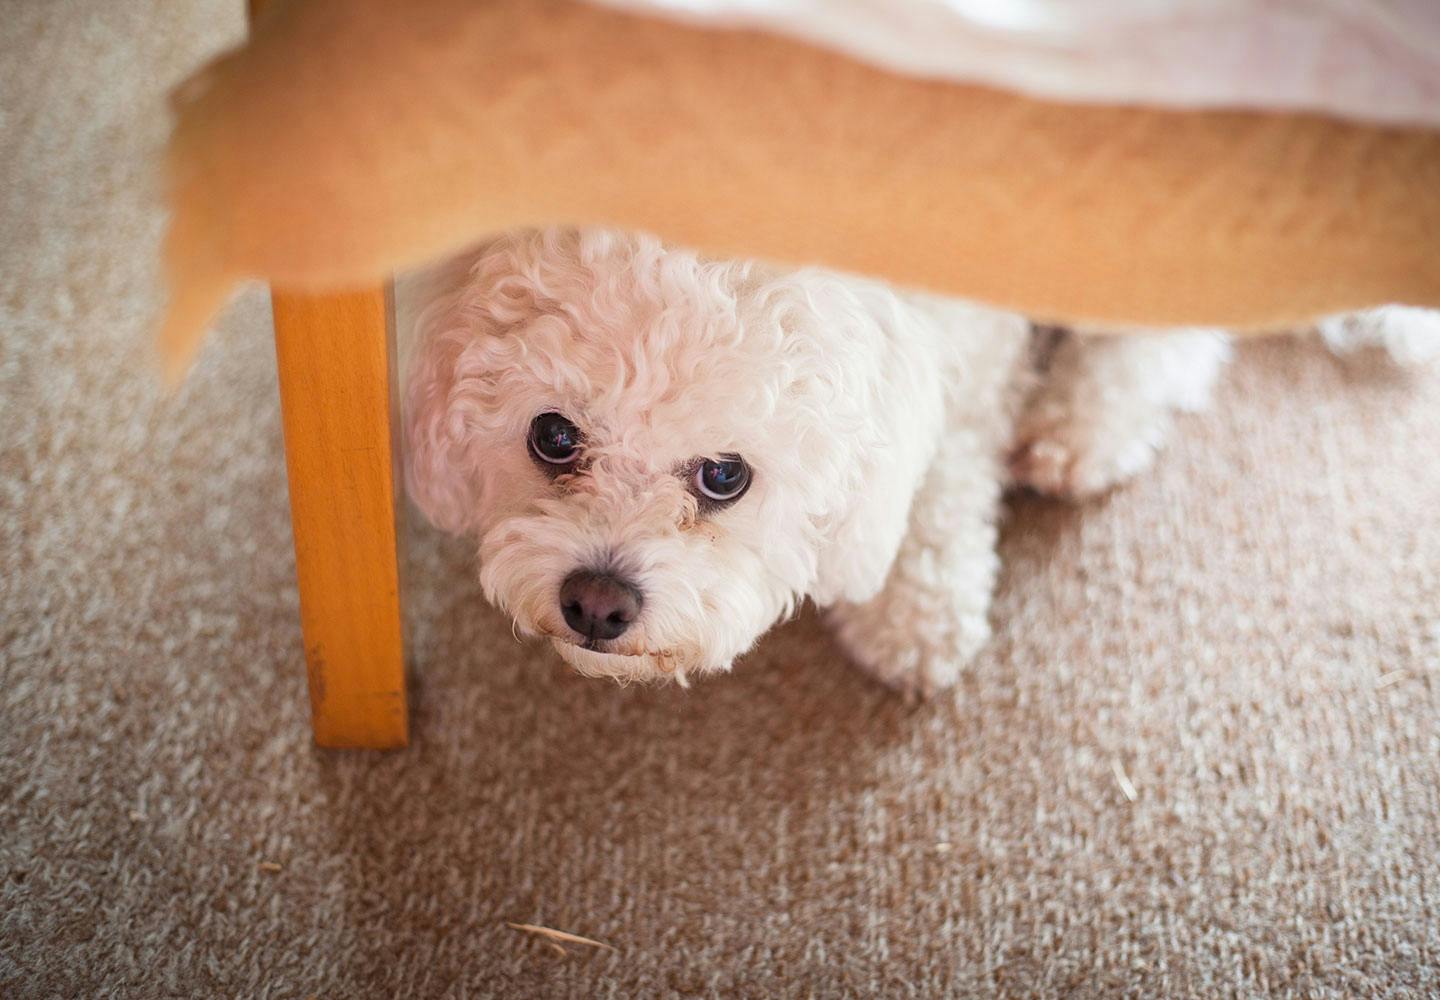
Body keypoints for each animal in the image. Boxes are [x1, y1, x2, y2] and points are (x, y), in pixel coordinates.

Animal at [408, 227, 1440, 697]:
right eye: (552, 437)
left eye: (724, 476)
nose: (596, 602)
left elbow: (934, 491)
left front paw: (912, 618)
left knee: (1171, 336)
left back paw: (1084, 427)